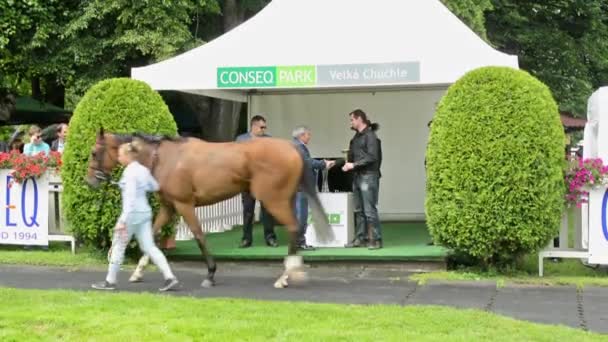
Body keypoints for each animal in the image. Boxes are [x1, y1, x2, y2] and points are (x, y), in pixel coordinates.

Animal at [85, 127, 332, 288]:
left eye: (94, 153)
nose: (90, 181)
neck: (165, 158)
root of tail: (292, 148)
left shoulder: (185, 205)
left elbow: (199, 236)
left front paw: (210, 274)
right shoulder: (168, 207)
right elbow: (152, 237)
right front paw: (137, 273)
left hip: (274, 200)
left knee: (292, 227)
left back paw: (285, 276)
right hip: (284, 199)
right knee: (295, 228)